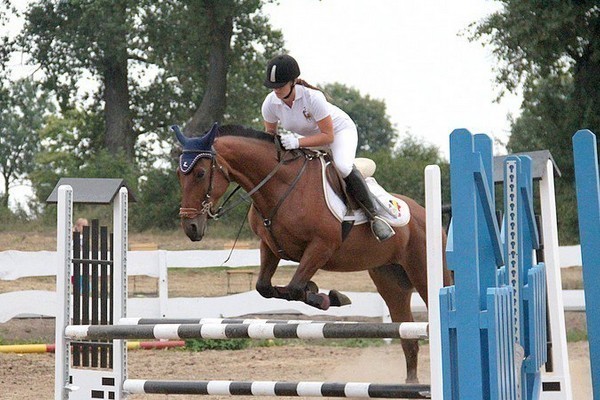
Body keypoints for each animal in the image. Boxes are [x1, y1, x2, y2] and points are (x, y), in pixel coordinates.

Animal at [173, 123, 450, 382]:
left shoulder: (321, 247)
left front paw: (331, 297)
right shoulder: (270, 247)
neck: (280, 187)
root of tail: (423, 211)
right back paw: (411, 382)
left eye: (200, 173)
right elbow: (265, 287)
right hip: (390, 281)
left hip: (424, 271)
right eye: (179, 174)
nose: (191, 227)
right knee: (408, 337)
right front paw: (319, 291)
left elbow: (295, 287)